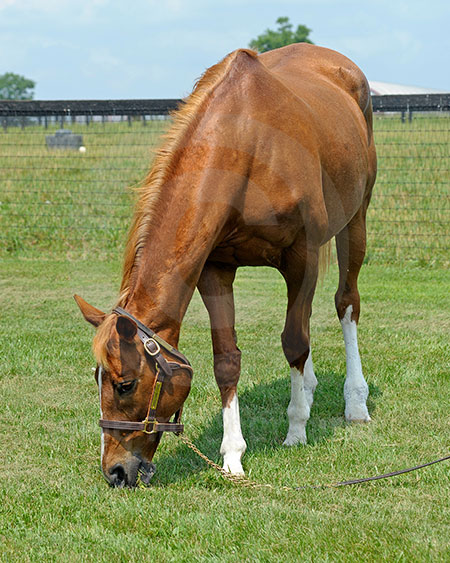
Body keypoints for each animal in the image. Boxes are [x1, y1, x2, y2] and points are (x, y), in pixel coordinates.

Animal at [74, 44, 376, 486]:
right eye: (96, 379)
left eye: (125, 384)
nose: (114, 471)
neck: (246, 145)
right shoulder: (215, 268)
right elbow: (227, 361)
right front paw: (233, 455)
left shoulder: (300, 258)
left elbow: (294, 341)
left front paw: (296, 429)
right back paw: (309, 386)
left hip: (355, 221)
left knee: (345, 304)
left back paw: (355, 403)